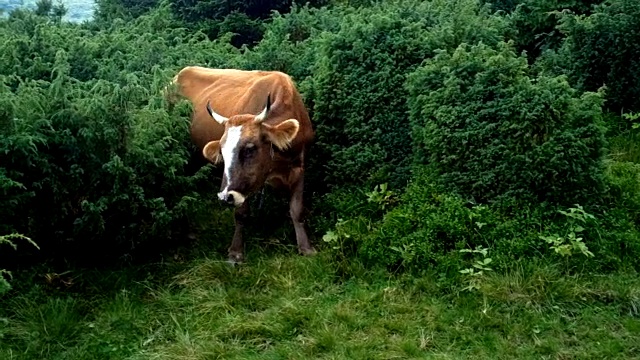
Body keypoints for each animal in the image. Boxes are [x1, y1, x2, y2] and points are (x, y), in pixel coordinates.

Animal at [165, 67, 316, 262]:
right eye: (222, 152)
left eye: (250, 149)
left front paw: (305, 247)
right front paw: (236, 251)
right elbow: (241, 214)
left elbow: (297, 209)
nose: (224, 197)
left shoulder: (299, 166)